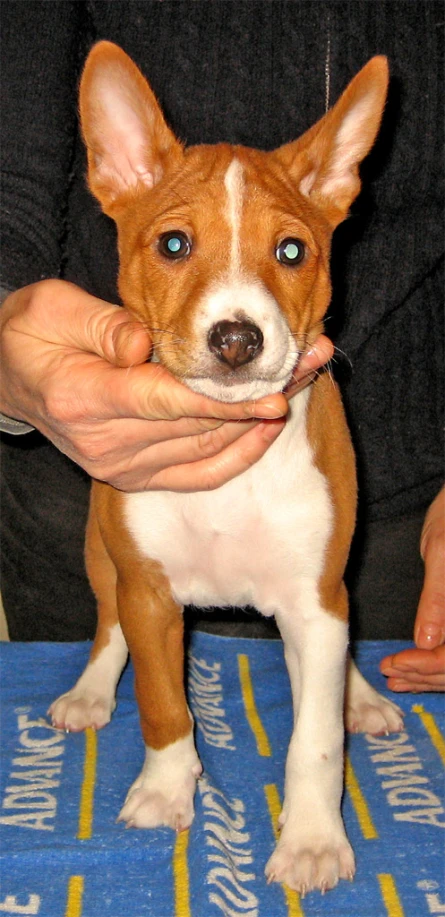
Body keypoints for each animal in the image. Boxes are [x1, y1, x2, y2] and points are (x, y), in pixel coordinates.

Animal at [49, 44, 402, 896]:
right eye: (173, 244)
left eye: (292, 251)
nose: (237, 337)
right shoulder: (149, 591)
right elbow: (161, 700)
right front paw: (165, 790)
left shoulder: (315, 598)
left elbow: (315, 739)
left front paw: (311, 840)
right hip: (101, 548)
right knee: (107, 627)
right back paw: (88, 692)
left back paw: (361, 697)